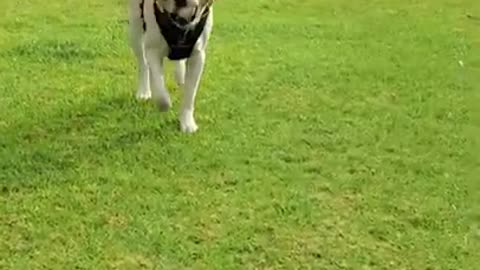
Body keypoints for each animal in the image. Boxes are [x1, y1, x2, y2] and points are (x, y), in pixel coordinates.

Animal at [127, 0, 214, 133]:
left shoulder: (198, 56)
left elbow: (190, 93)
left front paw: (187, 122)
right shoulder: (153, 50)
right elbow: (159, 87)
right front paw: (164, 104)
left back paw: (180, 75)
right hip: (135, 27)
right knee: (143, 62)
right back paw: (144, 91)